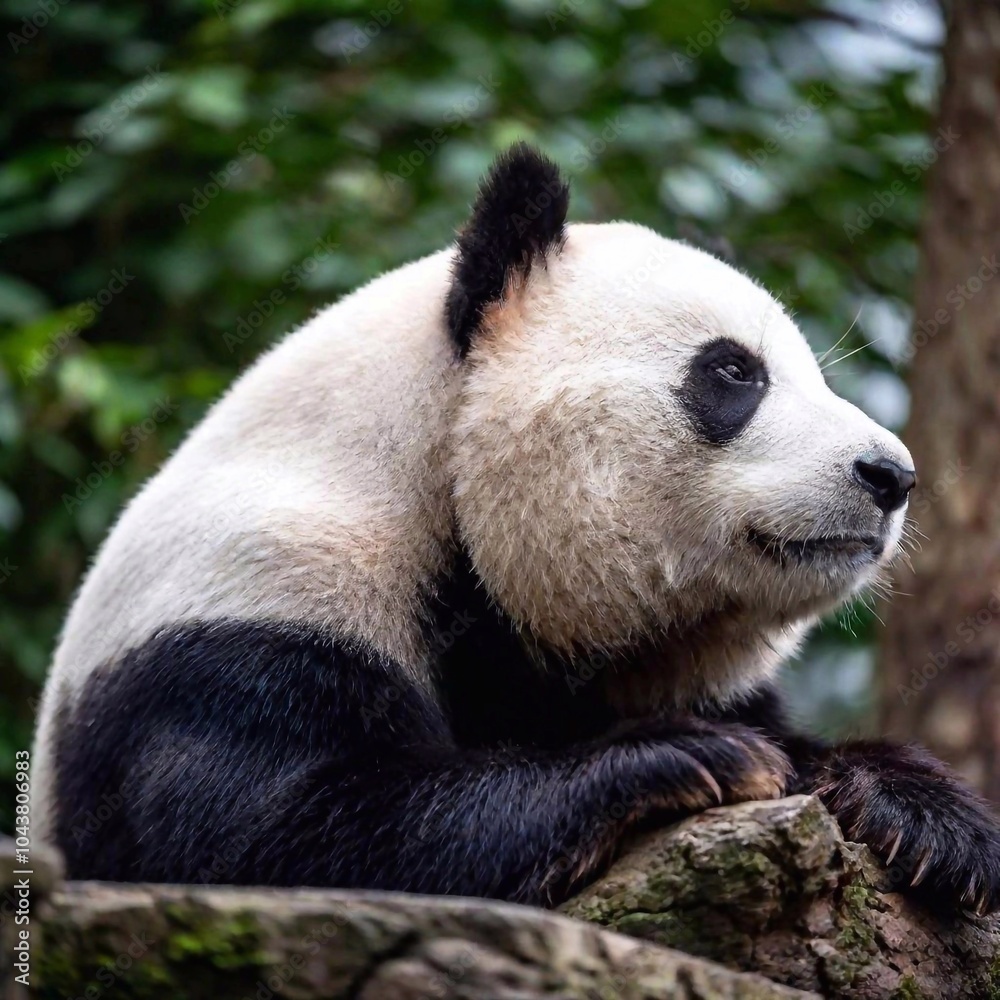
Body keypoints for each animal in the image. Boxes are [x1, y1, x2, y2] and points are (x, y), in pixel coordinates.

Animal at [32, 143, 1000, 912]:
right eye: (734, 371)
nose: (891, 476)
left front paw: (926, 818)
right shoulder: (243, 605)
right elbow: (268, 834)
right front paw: (687, 759)